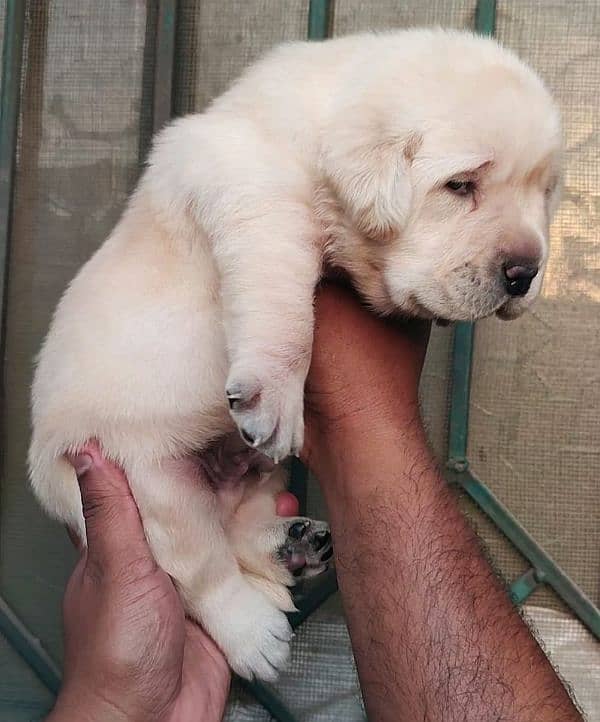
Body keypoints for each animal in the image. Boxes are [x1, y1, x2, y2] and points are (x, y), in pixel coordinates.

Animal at [28, 28, 564, 676]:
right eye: (460, 185)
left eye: (545, 191)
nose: (526, 273)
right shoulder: (261, 199)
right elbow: (283, 299)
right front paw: (276, 392)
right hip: (147, 483)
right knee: (200, 571)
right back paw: (255, 635)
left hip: (251, 474)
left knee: (236, 525)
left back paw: (293, 546)